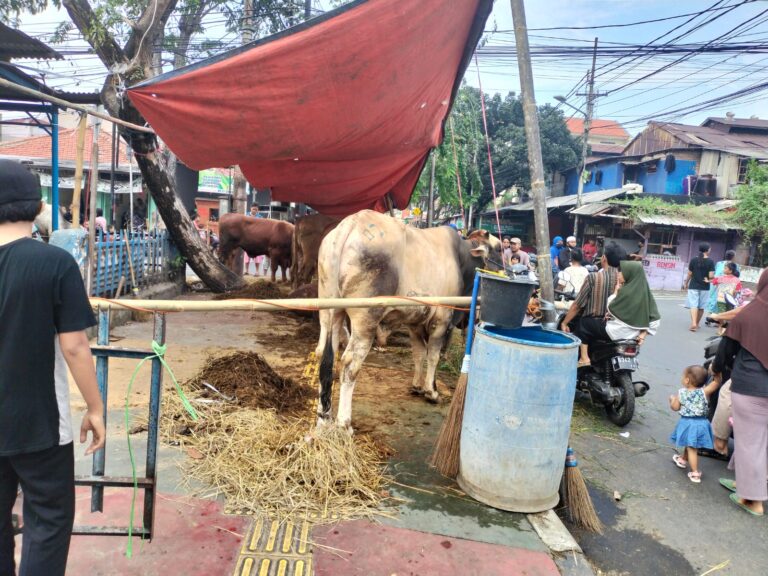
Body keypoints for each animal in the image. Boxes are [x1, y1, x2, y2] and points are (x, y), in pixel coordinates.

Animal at [314, 209, 500, 430]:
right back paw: (344, 423)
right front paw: (431, 391)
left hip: (330, 311)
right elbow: (433, 355)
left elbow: (419, 354)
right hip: (365, 319)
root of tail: (351, 223)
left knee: (326, 356)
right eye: (498, 250)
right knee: (350, 363)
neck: (461, 258)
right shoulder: (442, 319)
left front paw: (418, 386)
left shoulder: (415, 324)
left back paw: (323, 417)